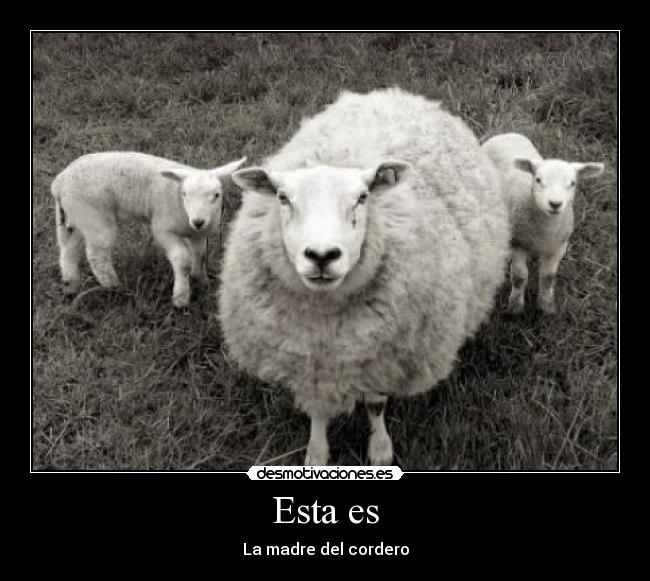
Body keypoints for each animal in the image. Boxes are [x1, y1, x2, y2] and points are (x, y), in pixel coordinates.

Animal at [51, 152, 246, 307]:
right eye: (184, 194)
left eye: (216, 195)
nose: (198, 221)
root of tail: (59, 182)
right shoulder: (163, 229)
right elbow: (182, 260)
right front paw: (181, 298)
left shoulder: (199, 234)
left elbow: (201, 255)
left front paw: (201, 281)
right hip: (94, 216)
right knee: (96, 254)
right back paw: (114, 286)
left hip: (74, 215)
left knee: (68, 249)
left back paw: (70, 286)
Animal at [218, 87, 511, 466]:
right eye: (283, 198)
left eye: (362, 197)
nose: (322, 255)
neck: (325, 318)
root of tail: (396, 93)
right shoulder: (309, 364)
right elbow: (318, 411)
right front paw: (316, 455)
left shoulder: (382, 357)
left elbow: (375, 404)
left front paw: (380, 450)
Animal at [481, 133, 604, 314]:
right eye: (538, 179)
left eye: (572, 183)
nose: (555, 203)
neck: (545, 230)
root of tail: (505, 134)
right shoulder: (519, 243)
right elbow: (519, 276)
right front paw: (515, 306)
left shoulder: (559, 247)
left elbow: (548, 277)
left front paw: (546, 306)